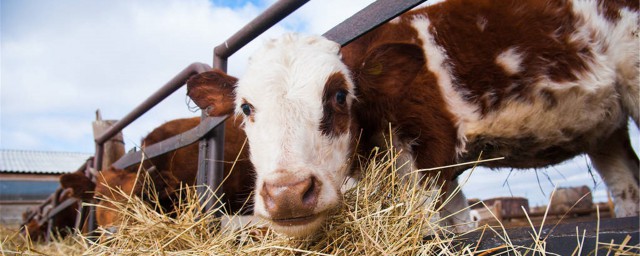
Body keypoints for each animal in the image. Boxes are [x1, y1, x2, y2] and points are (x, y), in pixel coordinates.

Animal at [188, 0, 636, 238]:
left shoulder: (433, 151)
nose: (288, 193)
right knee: (626, 188)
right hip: (607, 132)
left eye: (339, 95)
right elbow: (459, 225)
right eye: (246, 108)